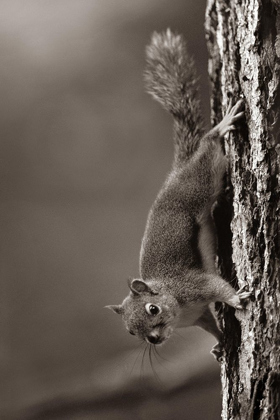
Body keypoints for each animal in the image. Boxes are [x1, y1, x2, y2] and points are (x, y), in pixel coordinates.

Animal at [106, 28, 252, 360]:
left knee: (209, 147)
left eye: (152, 309)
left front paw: (237, 300)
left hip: (199, 181)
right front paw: (220, 344)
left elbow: (220, 288)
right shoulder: (199, 314)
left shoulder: (196, 284)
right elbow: (211, 325)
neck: (178, 305)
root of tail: (178, 170)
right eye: (131, 331)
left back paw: (222, 126)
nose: (154, 339)